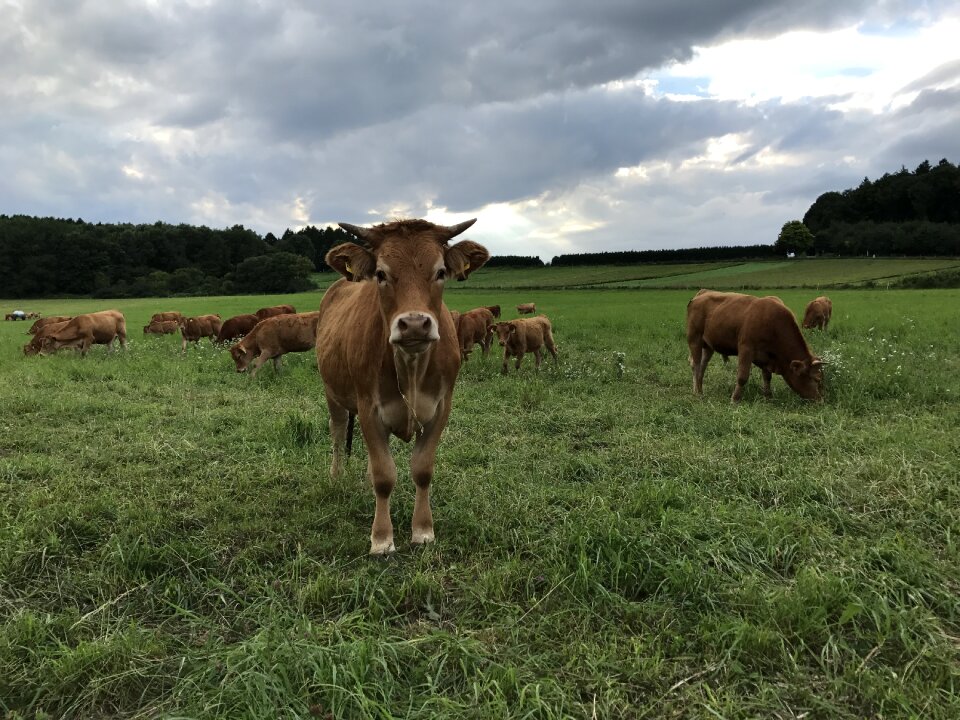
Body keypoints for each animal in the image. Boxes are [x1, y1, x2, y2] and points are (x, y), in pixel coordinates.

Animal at [318, 217, 492, 556]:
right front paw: (382, 538)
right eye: (381, 274)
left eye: (440, 272)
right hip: (333, 393)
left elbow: (422, 470)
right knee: (337, 431)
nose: (413, 324)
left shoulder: (441, 408)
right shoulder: (369, 407)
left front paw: (423, 531)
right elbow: (385, 476)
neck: (411, 368)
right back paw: (336, 475)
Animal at [684, 290, 824, 402]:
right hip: (694, 339)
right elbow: (742, 377)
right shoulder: (746, 348)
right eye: (816, 379)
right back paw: (696, 392)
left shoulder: (767, 356)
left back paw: (701, 390)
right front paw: (735, 399)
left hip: (708, 346)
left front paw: (768, 396)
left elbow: (767, 376)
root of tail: (702, 294)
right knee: (696, 365)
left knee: (703, 366)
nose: (820, 400)